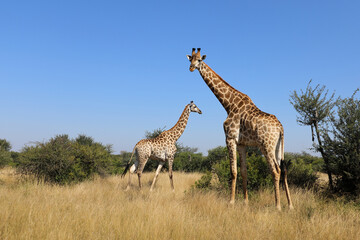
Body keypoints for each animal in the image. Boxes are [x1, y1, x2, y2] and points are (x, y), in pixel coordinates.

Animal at [187, 47, 294, 209]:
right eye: (190, 59)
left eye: (199, 60)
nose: (191, 68)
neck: (228, 104)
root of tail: (280, 127)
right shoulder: (242, 144)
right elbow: (244, 171)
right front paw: (245, 202)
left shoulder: (230, 138)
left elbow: (233, 171)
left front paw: (231, 202)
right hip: (278, 147)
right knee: (284, 169)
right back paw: (290, 205)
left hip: (266, 146)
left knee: (275, 171)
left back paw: (278, 206)